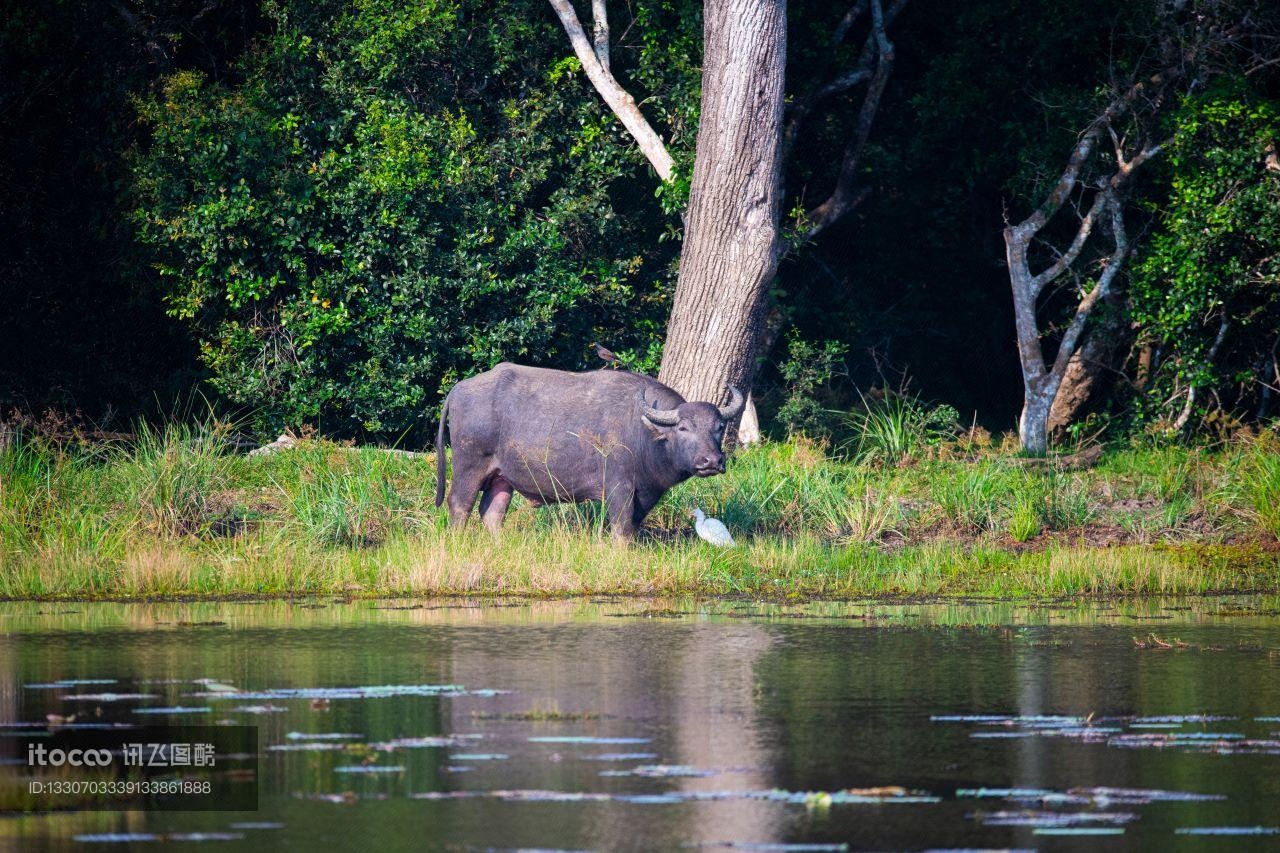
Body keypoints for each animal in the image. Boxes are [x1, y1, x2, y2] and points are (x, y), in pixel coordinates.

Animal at [435, 361, 747, 537]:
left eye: (719, 426)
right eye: (683, 428)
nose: (711, 460)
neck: (643, 432)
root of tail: (459, 389)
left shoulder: (645, 494)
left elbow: (633, 527)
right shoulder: (619, 488)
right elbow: (621, 529)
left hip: (502, 477)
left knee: (492, 513)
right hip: (469, 466)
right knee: (459, 506)